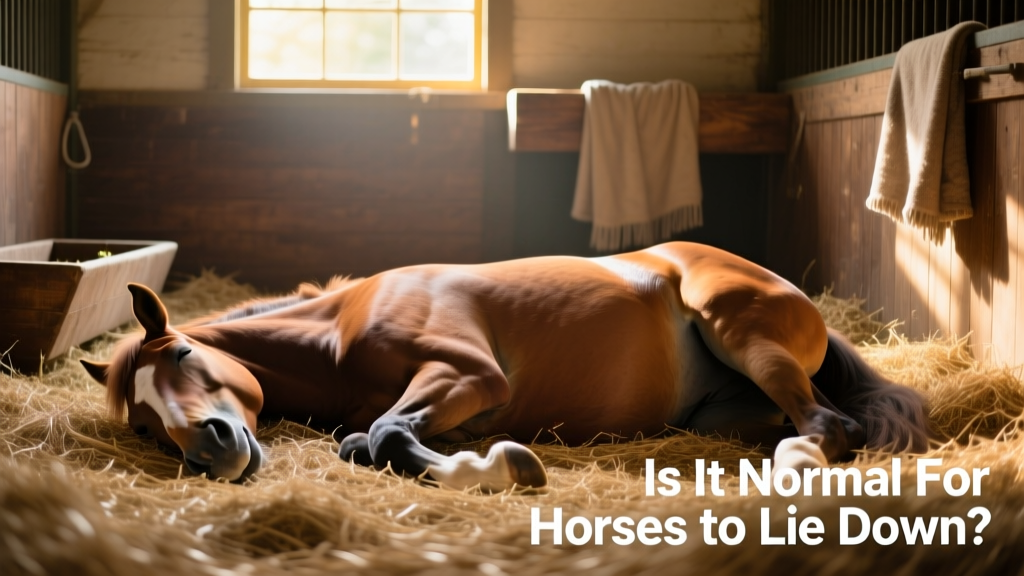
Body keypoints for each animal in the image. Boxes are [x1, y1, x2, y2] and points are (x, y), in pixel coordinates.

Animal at [81, 242, 930, 491]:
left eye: (186, 352)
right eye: (145, 423)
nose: (210, 448)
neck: (340, 337)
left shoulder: (468, 378)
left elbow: (386, 435)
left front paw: (506, 465)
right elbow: (367, 443)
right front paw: (476, 464)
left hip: (743, 334)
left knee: (828, 424)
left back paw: (792, 470)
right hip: (729, 408)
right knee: (816, 423)